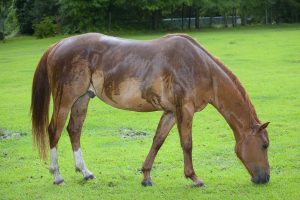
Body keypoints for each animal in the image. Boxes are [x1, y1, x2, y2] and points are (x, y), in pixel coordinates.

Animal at [30, 32, 270, 186]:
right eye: (265, 145)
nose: (265, 179)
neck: (198, 66)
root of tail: (58, 45)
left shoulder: (171, 112)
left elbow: (157, 141)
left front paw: (146, 177)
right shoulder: (185, 110)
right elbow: (187, 144)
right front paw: (194, 178)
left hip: (82, 99)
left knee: (74, 131)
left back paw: (86, 173)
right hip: (65, 100)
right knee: (54, 131)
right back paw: (57, 176)